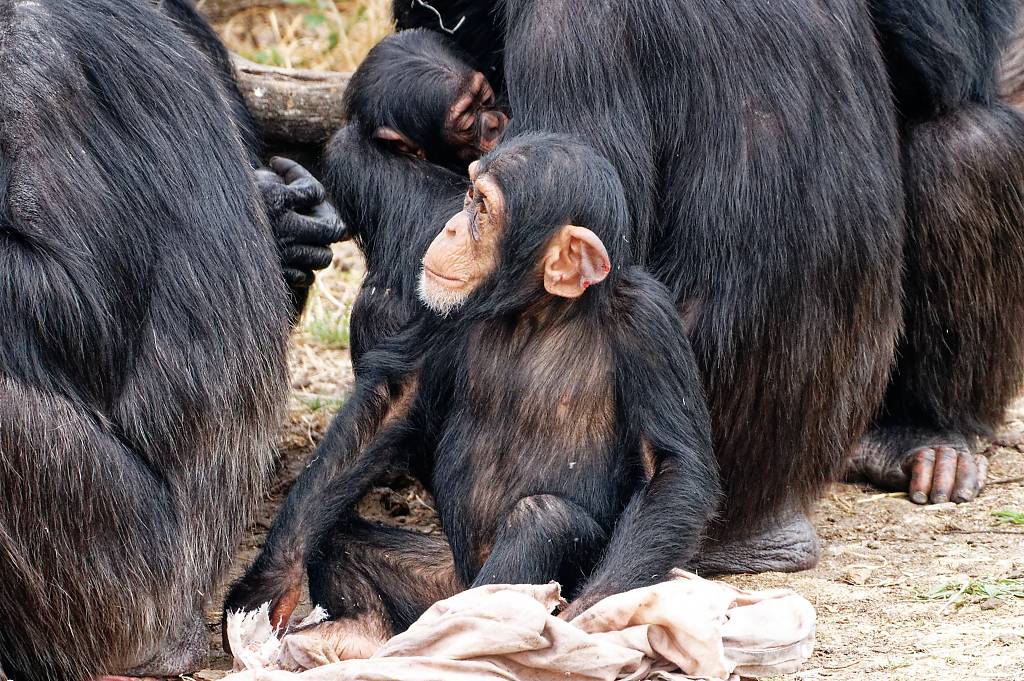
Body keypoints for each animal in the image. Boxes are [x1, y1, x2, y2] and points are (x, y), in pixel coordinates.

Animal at [224, 134, 720, 647]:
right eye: (469, 193)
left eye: (482, 207)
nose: (451, 228)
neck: (539, 311)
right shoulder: (446, 306)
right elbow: (395, 401)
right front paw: (271, 580)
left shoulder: (648, 320)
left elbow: (671, 467)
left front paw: (588, 617)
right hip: (440, 581)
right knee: (337, 537)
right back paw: (357, 633)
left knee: (544, 519)